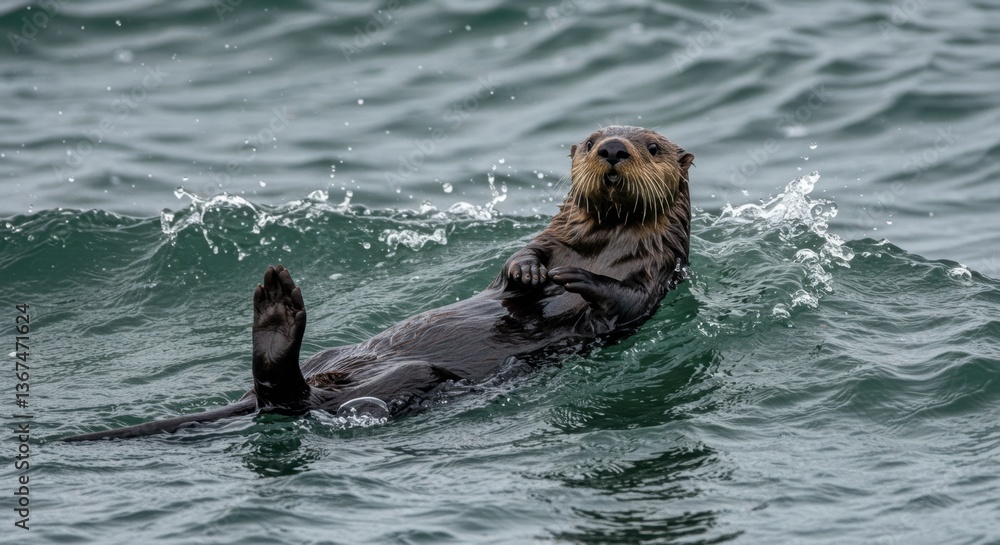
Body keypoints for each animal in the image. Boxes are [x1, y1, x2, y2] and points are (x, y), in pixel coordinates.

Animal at [64, 126, 693, 441]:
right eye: (589, 141)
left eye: (652, 147)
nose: (613, 148)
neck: (602, 243)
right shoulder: (552, 233)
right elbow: (517, 261)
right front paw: (530, 271)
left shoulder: (658, 277)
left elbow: (624, 300)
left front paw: (572, 277)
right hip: (340, 357)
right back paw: (277, 308)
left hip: (408, 379)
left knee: (294, 400)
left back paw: (278, 313)